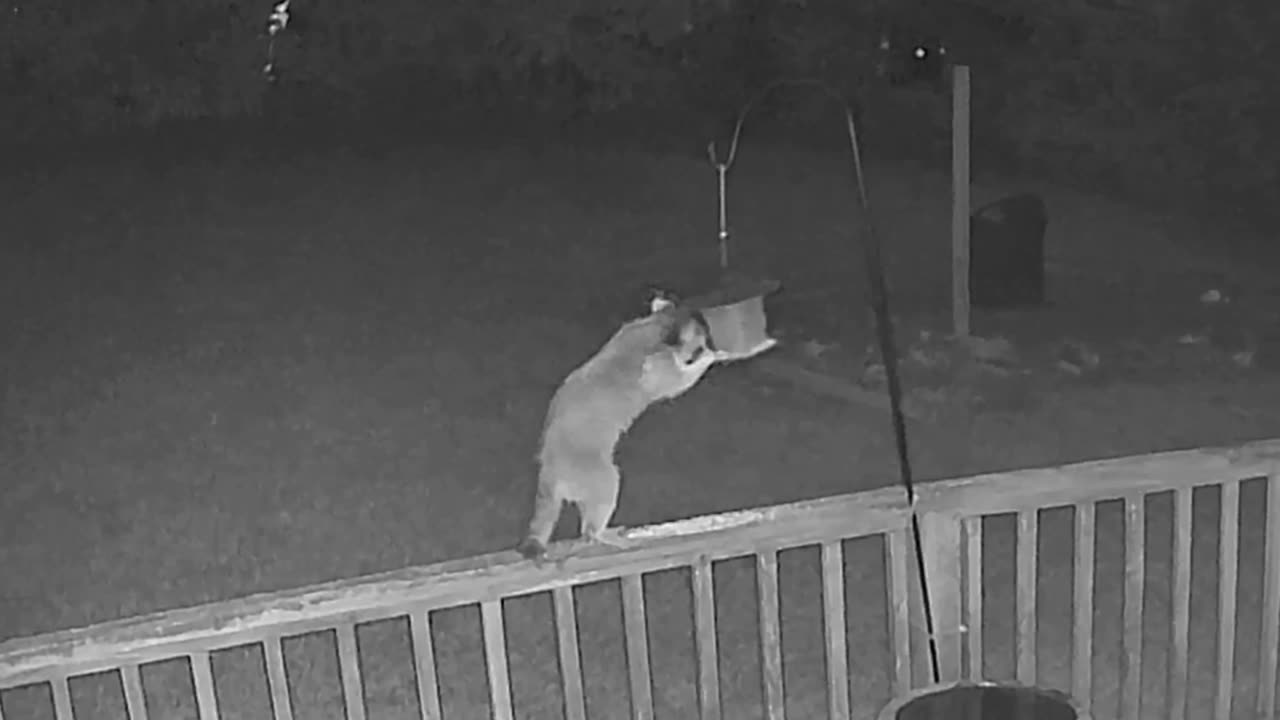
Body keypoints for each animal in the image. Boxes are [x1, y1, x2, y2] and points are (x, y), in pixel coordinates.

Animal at [516, 296, 720, 560]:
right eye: (701, 340)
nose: (708, 344)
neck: (653, 327)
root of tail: (550, 472)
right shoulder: (656, 367)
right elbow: (675, 384)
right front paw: (708, 359)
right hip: (593, 472)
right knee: (604, 494)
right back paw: (597, 532)